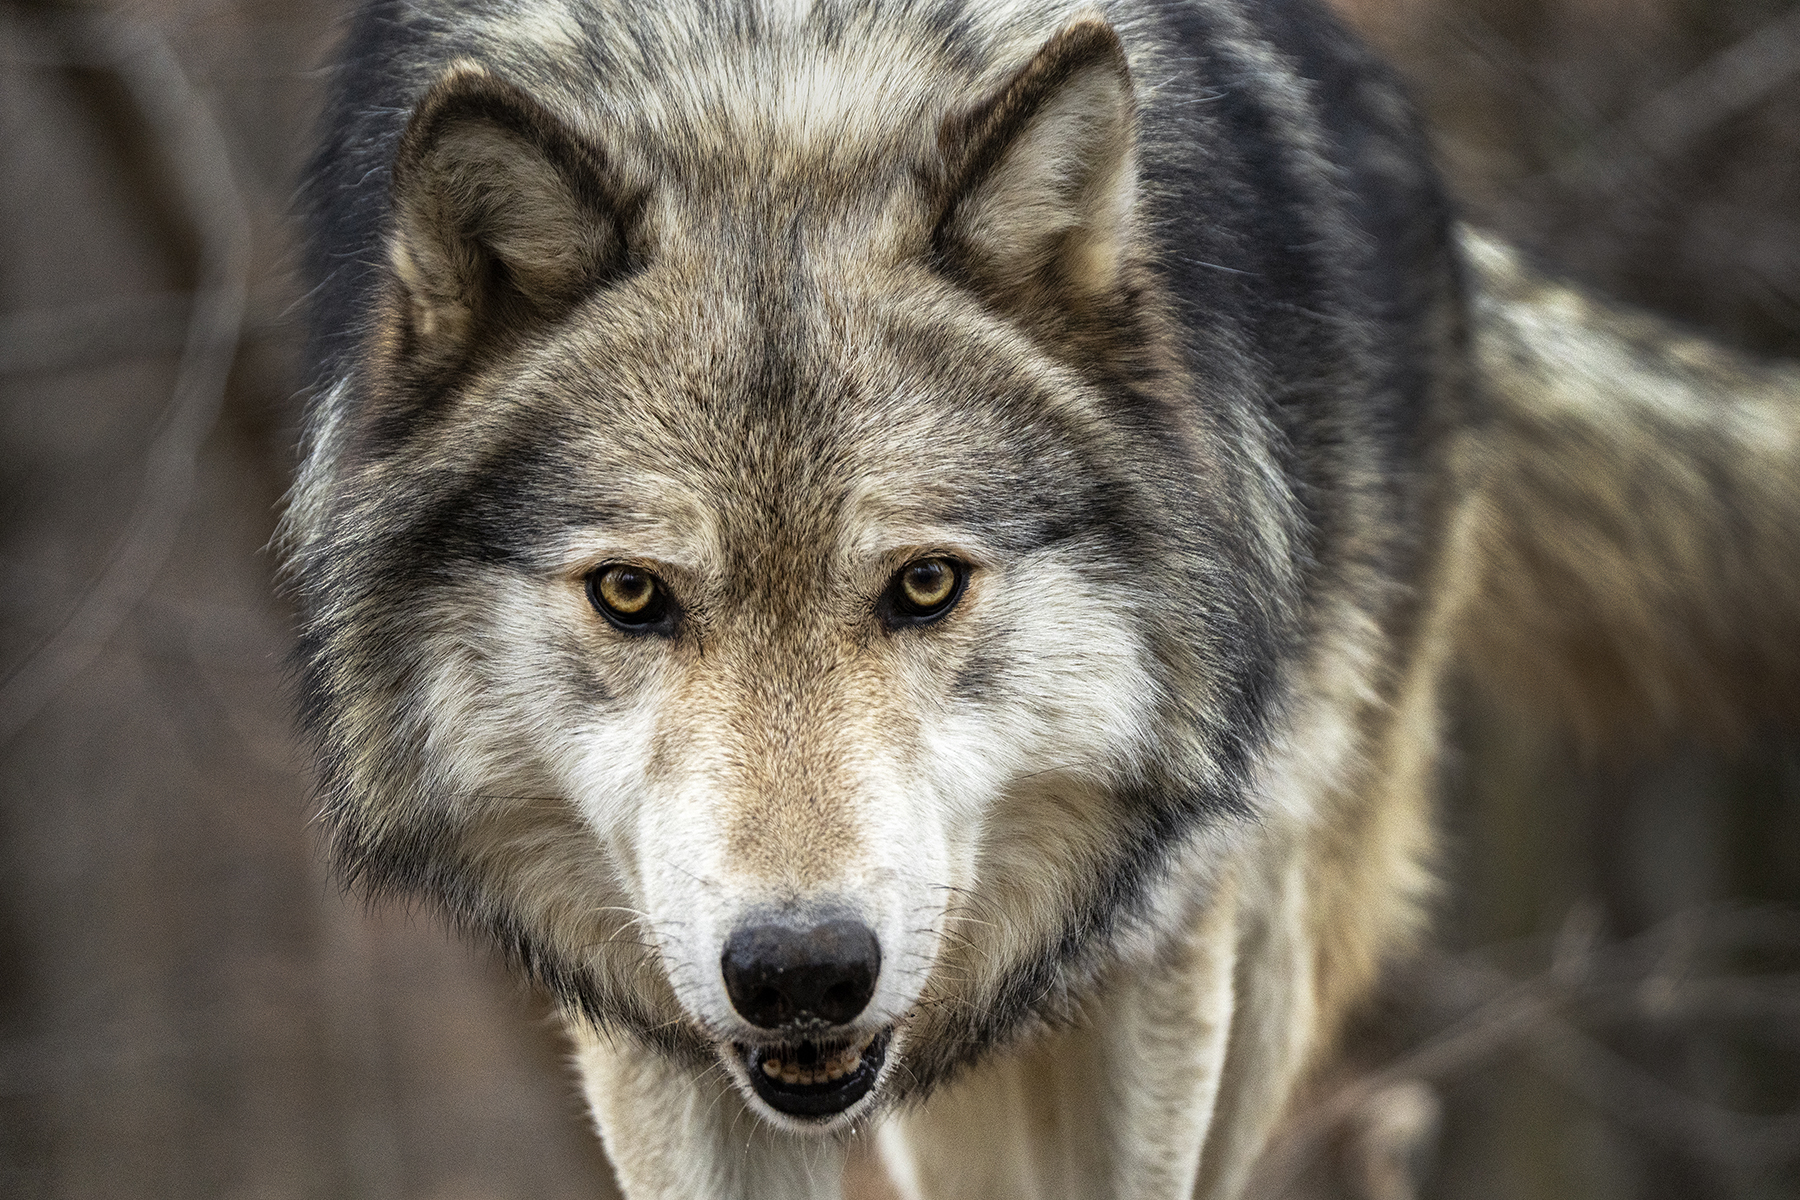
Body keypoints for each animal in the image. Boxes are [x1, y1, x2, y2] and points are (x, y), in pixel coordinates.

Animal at [288, 0, 1800, 1194]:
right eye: (629, 594)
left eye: (925, 583)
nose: (799, 971)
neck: (774, 97)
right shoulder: (654, 1031)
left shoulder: (1158, 975)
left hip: (1266, 948)